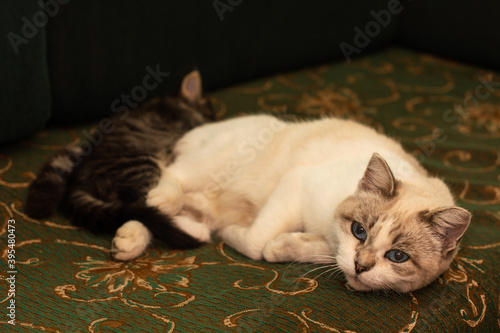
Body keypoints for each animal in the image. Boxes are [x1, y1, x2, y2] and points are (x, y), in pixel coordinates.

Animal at [25, 69, 213, 260]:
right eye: (209, 111)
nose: (212, 118)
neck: (177, 101)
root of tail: (77, 183)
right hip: (141, 163)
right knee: (140, 205)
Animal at [117, 114, 468, 290]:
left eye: (398, 256)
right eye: (359, 231)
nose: (361, 266)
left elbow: (292, 249)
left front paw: (291, 245)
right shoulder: (297, 183)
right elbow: (257, 243)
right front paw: (238, 235)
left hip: (203, 208)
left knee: (182, 218)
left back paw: (133, 240)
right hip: (215, 166)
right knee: (167, 181)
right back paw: (152, 214)